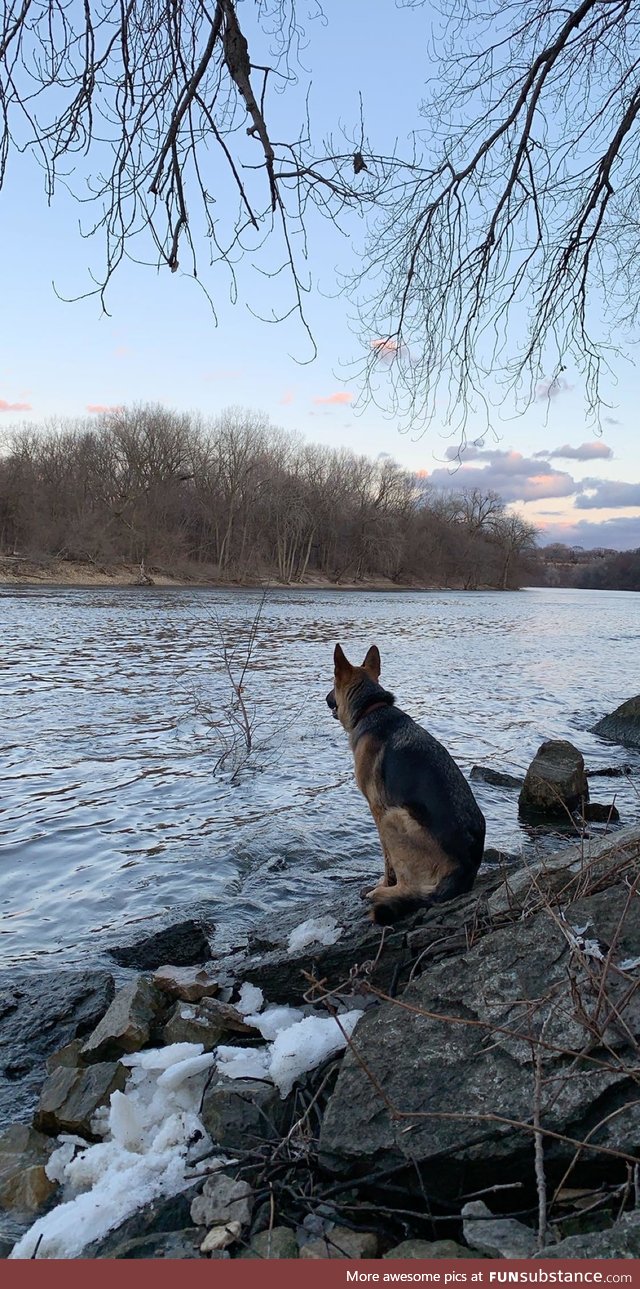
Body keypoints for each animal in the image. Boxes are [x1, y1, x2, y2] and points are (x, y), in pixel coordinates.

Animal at [324, 644, 484, 928]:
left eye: (333, 683)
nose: (324, 698)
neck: (372, 708)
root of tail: (465, 870)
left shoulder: (377, 810)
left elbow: (386, 860)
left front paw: (383, 882)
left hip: (393, 817)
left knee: (410, 887)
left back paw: (380, 893)